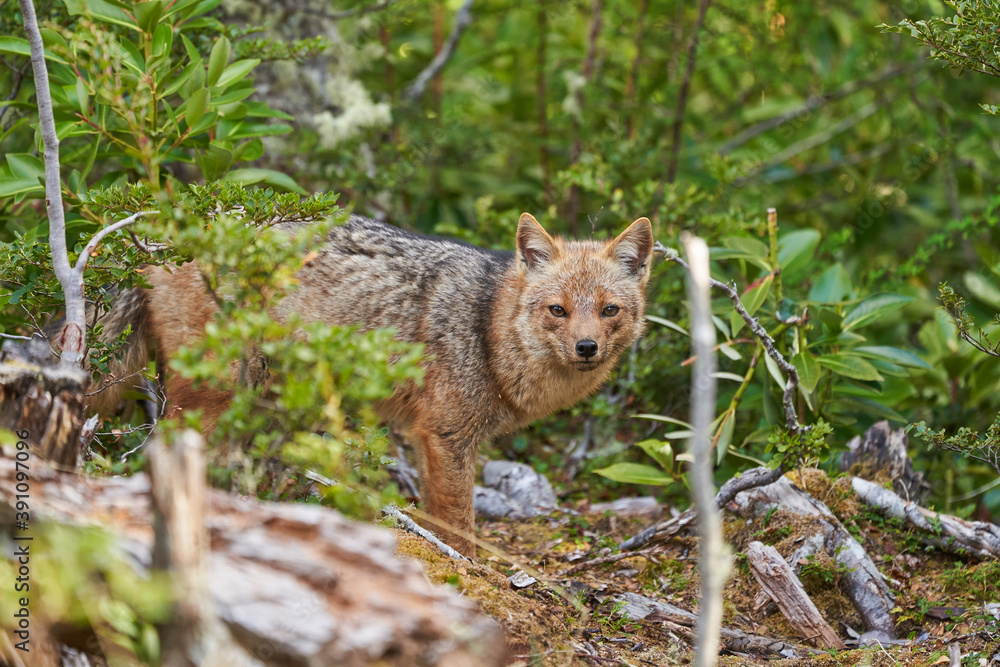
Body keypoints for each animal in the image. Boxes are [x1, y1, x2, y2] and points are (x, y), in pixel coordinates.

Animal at [89, 212, 655, 558]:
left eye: (609, 311)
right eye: (558, 310)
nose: (587, 348)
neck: (488, 327)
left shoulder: (435, 442)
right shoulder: (446, 437)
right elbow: (458, 529)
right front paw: (467, 573)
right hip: (220, 397)